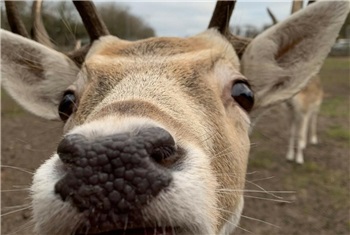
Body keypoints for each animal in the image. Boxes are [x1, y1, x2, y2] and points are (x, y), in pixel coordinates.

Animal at [268, 0, 326, 165]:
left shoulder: (304, 109)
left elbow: (299, 133)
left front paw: (299, 159)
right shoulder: (291, 113)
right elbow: (292, 133)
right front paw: (289, 156)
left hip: (317, 105)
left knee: (313, 119)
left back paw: (312, 140)